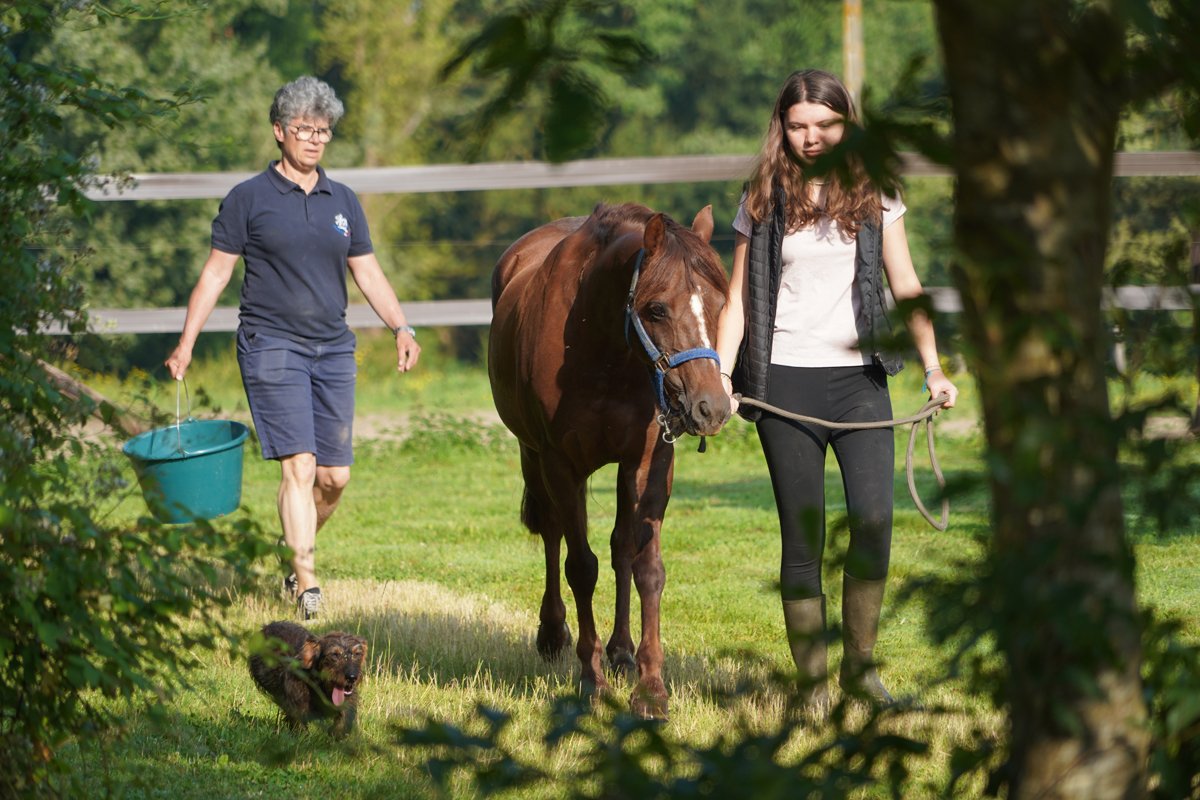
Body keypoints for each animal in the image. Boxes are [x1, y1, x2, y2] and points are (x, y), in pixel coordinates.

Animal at [488, 202, 731, 720]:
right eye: (656, 308)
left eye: (719, 303)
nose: (712, 408)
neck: (600, 348)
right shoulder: (560, 464)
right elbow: (581, 566)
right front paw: (591, 682)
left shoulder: (651, 458)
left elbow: (645, 567)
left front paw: (651, 689)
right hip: (532, 457)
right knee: (553, 536)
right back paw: (554, 633)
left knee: (621, 546)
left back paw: (621, 652)